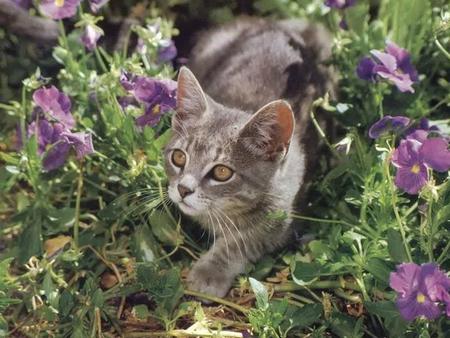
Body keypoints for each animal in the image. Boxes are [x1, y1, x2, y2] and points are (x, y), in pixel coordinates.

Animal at [163, 17, 332, 298]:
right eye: (178, 157)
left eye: (221, 172)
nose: (183, 189)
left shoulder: (280, 221)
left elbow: (241, 241)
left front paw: (209, 272)